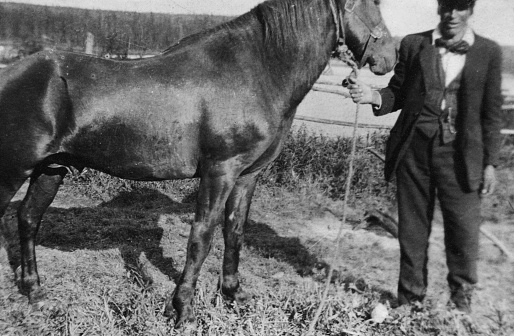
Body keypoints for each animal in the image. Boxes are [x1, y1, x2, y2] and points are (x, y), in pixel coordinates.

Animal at [0, 0, 396, 326]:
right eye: (366, 2)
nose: (389, 57)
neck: (255, 72)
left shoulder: (247, 176)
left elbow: (234, 231)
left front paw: (233, 295)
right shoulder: (219, 171)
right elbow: (202, 237)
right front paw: (184, 311)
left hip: (50, 170)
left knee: (28, 219)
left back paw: (35, 291)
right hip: (13, 169)